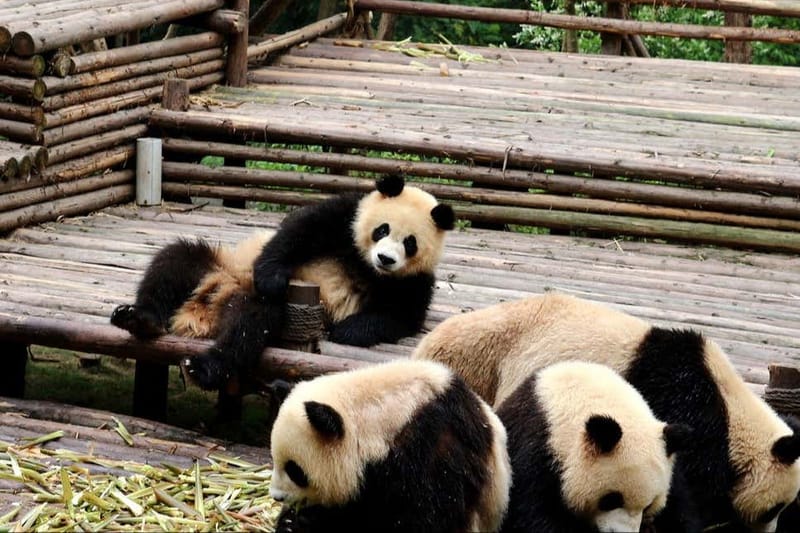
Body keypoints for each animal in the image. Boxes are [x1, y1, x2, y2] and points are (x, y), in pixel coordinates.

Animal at [110, 175, 455, 390]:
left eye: (410, 243)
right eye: (382, 229)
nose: (385, 258)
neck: (365, 265)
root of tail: (203, 307)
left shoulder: (414, 282)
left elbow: (398, 317)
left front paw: (346, 330)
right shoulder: (344, 217)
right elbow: (297, 232)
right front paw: (273, 277)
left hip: (246, 301)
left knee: (250, 325)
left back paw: (206, 367)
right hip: (221, 264)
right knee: (175, 261)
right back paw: (139, 318)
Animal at [267, 358, 511, 532]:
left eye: (295, 470)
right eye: (275, 460)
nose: (276, 497)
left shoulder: (433, 450)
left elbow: (425, 518)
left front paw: (306, 521)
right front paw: (290, 522)